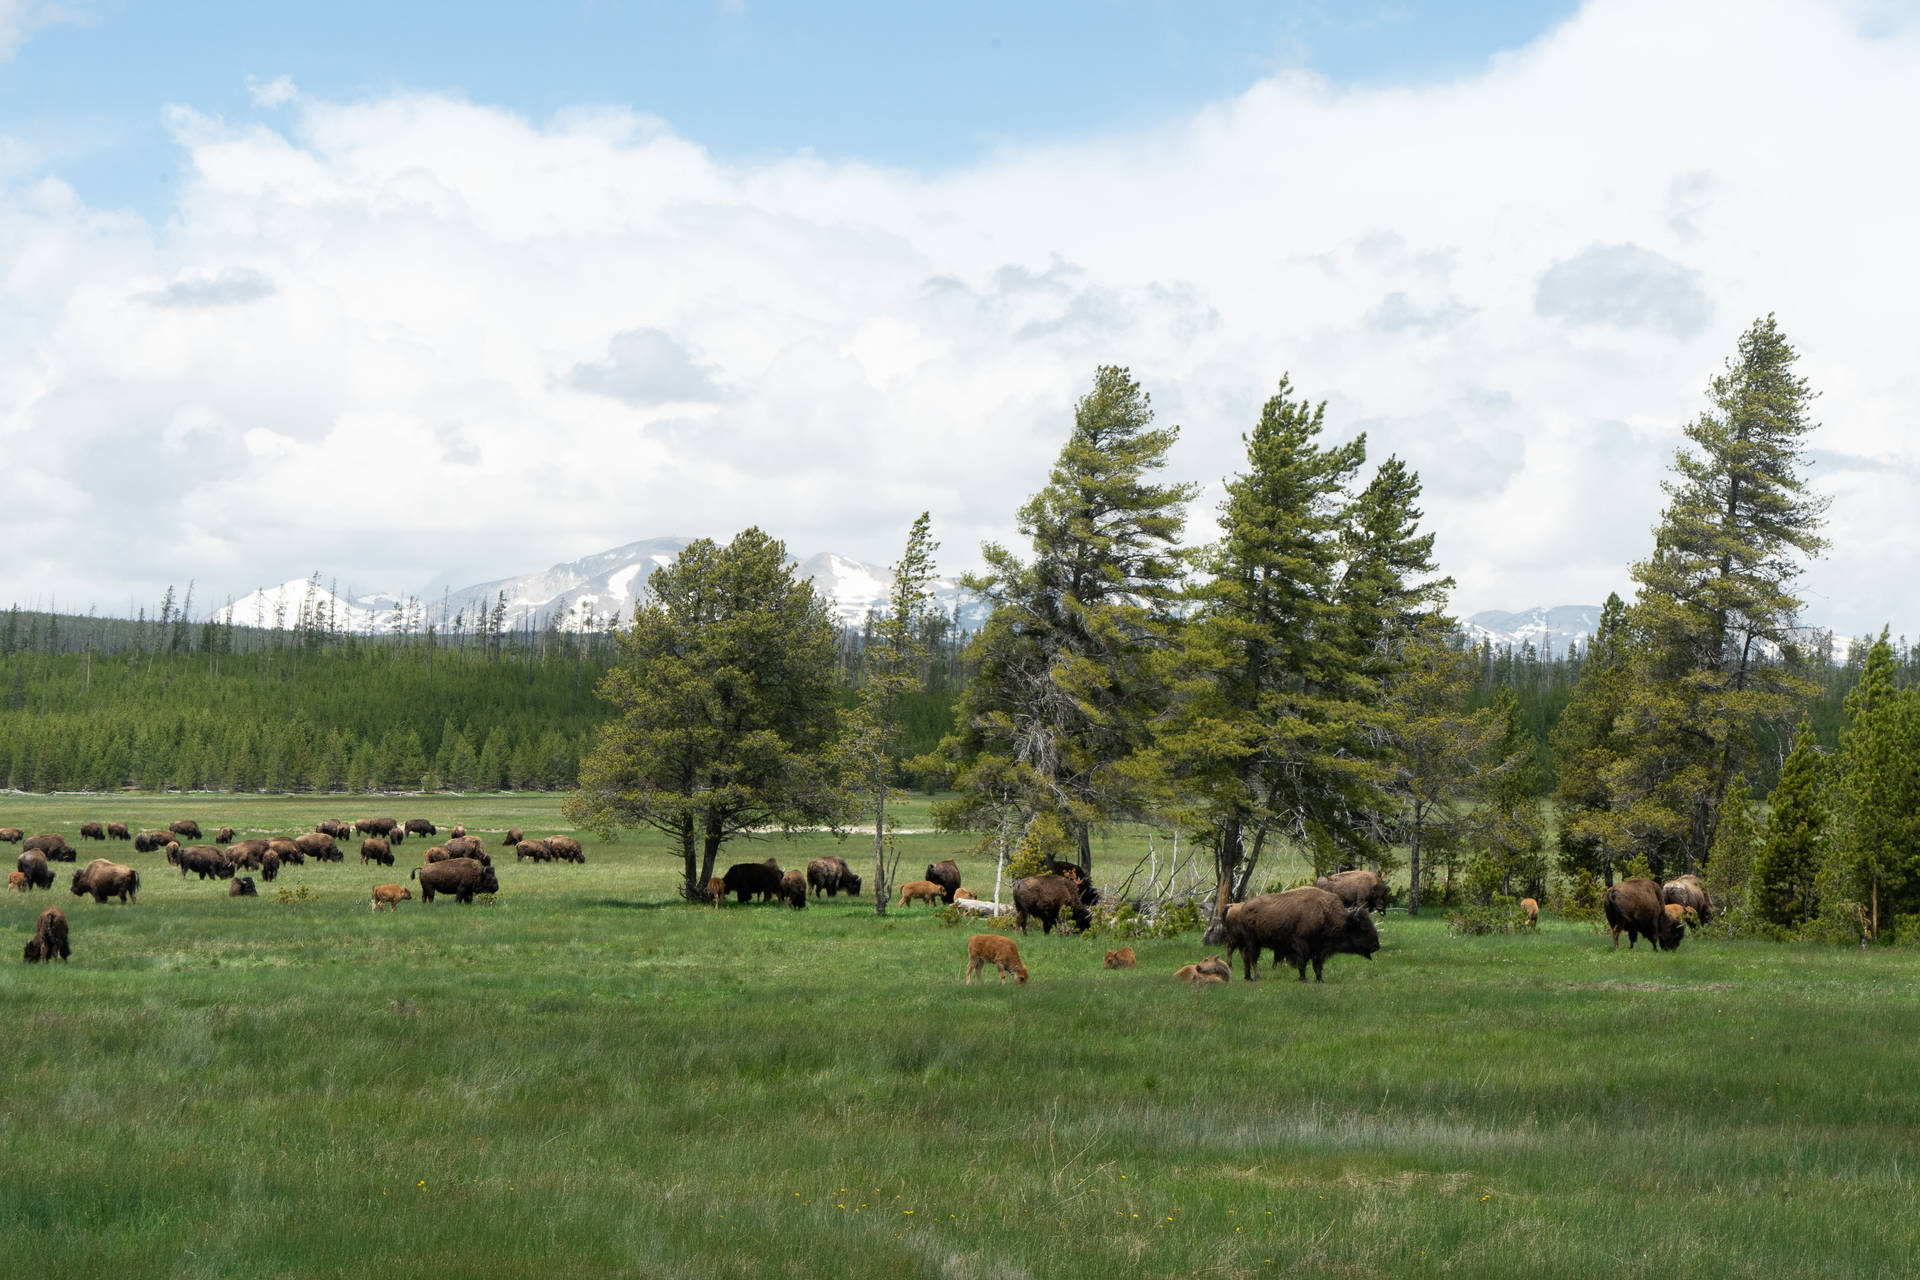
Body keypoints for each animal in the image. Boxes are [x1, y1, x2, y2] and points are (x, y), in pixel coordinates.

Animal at [1221, 886, 1374, 990]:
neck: (1326, 913)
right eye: (1363, 929)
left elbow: (1317, 965)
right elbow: (1303, 963)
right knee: (1252, 958)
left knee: (1245, 957)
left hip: (1247, 943)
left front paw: (1320, 979)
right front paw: (1303, 979)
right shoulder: (1302, 945)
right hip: (1252, 942)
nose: (1376, 945)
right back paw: (1257, 977)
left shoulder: (1319, 950)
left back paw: (1248, 977)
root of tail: (1243, 907)